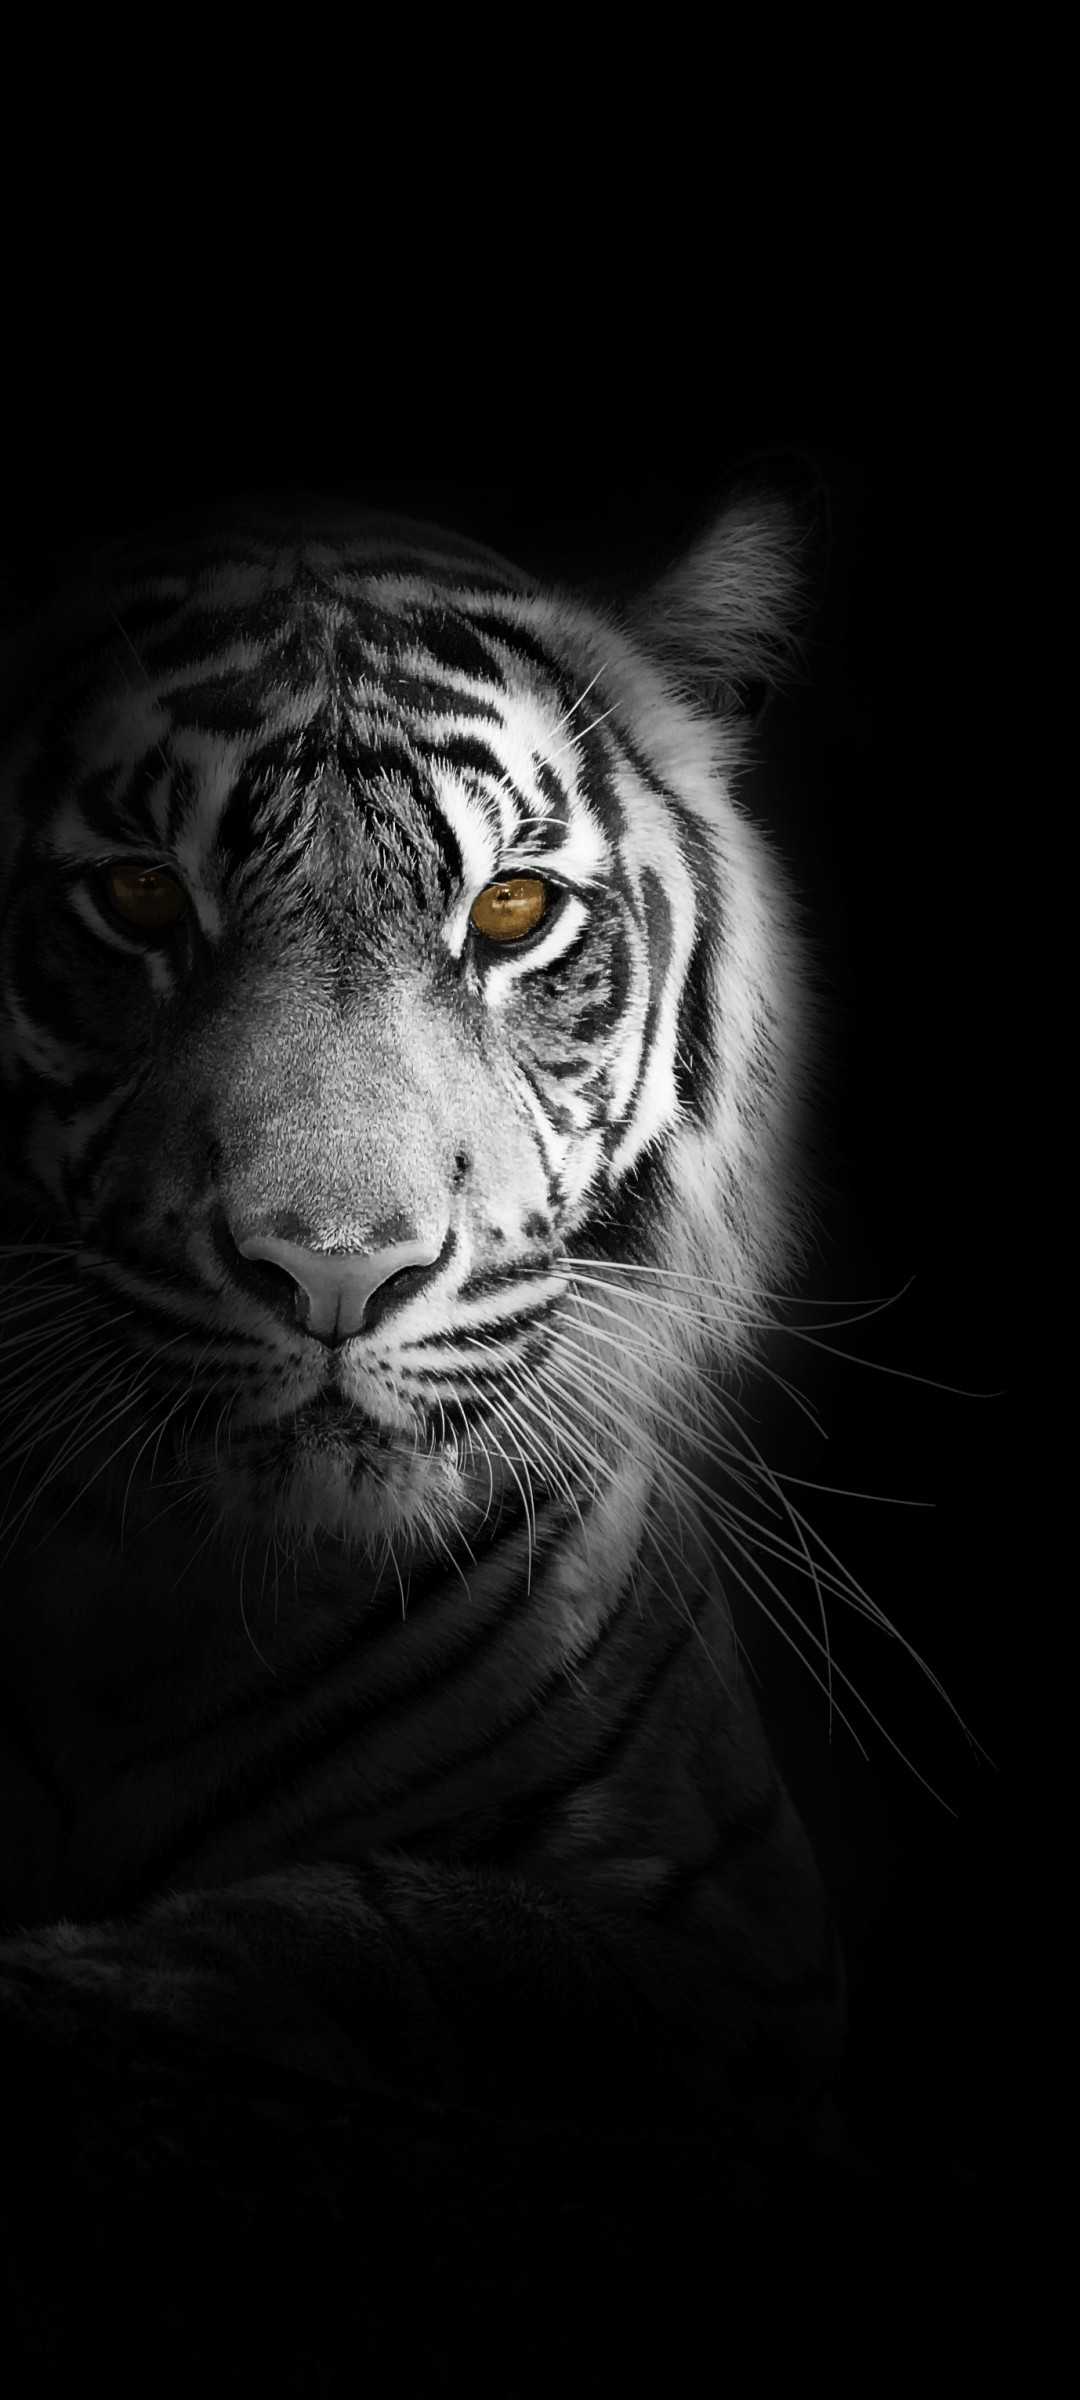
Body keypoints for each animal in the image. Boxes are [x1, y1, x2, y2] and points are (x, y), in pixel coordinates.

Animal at [0, 487, 847, 2193]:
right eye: (137, 896)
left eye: (510, 911)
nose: (338, 1270)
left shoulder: (758, 1962)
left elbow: (468, 1948)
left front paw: (126, 1971)